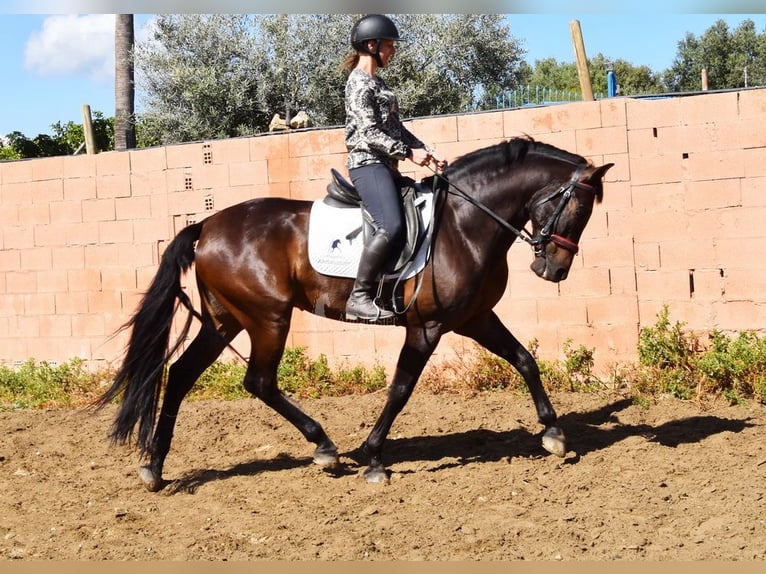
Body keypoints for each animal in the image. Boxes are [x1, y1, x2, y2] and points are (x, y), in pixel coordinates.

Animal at [96, 136, 613, 490]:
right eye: (576, 209)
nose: (554, 269)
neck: (464, 224)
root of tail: (205, 225)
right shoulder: (426, 328)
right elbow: (401, 389)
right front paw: (373, 456)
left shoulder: (475, 319)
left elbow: (525, 360)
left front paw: (554, 433)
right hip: (267, 319)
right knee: (258, 381)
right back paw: (324, 448)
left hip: (226, 320)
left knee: (182, 375)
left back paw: (155, 466)